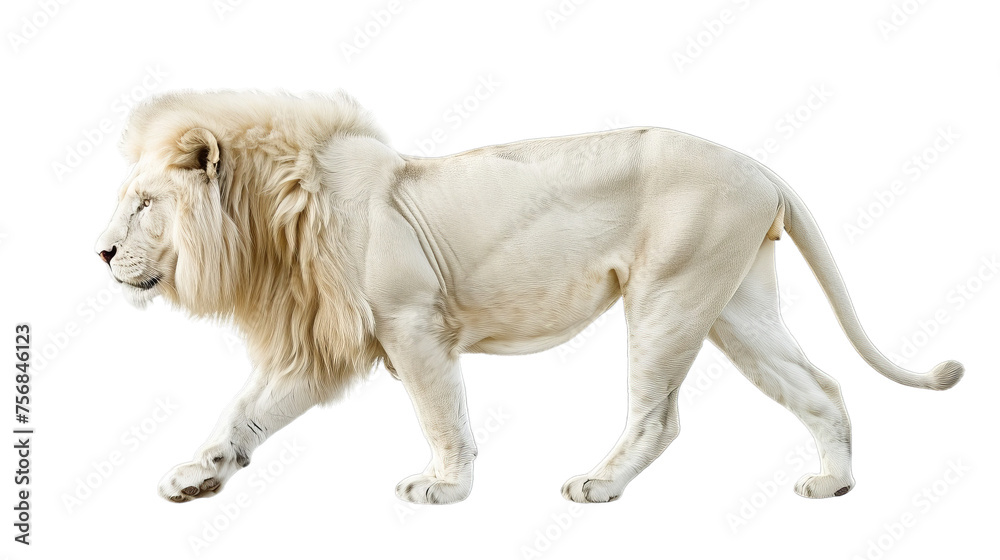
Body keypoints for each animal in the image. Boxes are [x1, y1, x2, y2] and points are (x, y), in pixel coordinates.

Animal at [95, 90, 963, 505]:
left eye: (143, 204)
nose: (99, 254)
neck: (270, 222)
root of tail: (758, 163)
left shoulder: (412, 324)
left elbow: (441, 415)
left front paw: (444, 488)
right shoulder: (327, 341)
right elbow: (246, 413)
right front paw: (199, 475)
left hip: (668, 295)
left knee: (659, 416)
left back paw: (599, 485)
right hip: (737, 305)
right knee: (820, 386)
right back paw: (833, 485)